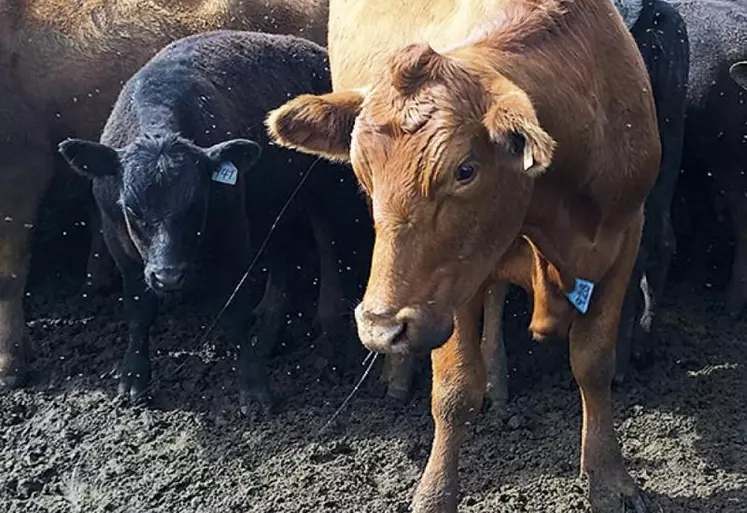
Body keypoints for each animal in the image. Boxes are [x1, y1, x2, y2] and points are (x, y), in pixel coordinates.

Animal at [57, 31, 366, 416]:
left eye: (196, 205)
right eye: (131, 209)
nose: (168, 276)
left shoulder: (232, 239)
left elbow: (232, 313)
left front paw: (253, 387)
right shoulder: (121, 248)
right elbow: (139, 310)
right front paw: (133, 378)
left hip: (324, 191)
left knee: (326, 245)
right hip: (273, 205)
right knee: (282, 261)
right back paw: (268, 334)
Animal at [268, 1, 660, 512]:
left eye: (465, 170)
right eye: (361, 171)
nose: (378, 328)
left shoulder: (625, 233)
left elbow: (594, 363)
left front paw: (610, 480)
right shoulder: (447, 287)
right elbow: (453, 393)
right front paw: (434, 496)